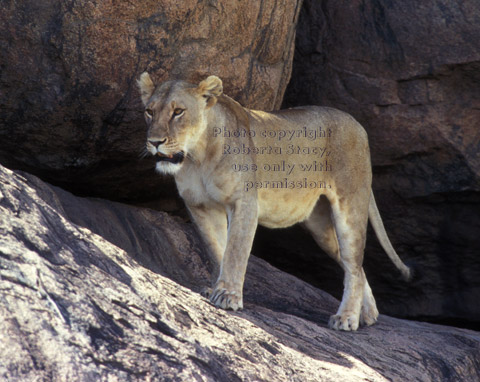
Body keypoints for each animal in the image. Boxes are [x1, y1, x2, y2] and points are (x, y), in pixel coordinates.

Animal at [137, 73, 410, 330]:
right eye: (149, 111)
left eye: (178, 112)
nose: (154, 142)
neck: (197, 156)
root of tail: (357, 124)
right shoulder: (200, 207)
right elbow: (217, 250)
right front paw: (216, 288)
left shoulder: (244, 202)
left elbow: (235, 250)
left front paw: (228, 296)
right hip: (320, 227)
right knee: (356, 265)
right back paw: (368, 314)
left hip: (350, 204)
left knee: (353, 264)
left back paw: (347, 318)